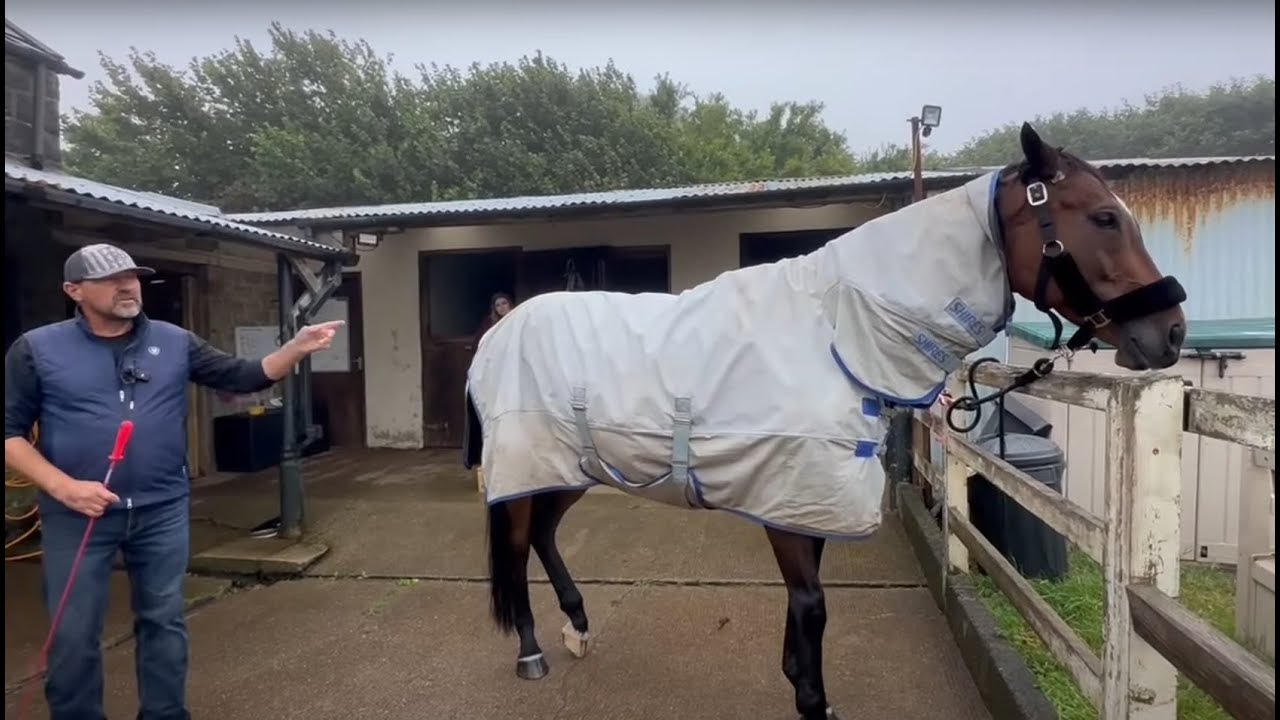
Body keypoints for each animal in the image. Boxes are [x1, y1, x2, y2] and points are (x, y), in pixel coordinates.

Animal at [461, 123, 1188, 720]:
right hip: (529, 463)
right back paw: (531, 653)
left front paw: (800, 683)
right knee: (520, 544)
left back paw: (579, 627)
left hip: (569, 468)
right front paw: (812, 700)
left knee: (545, 536)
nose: (1171, 334)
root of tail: (503, 329)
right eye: (1104, 217)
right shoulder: (790, 493)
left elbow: (804, 601)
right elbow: (812, 603)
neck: (836, 334)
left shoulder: (807, 495)